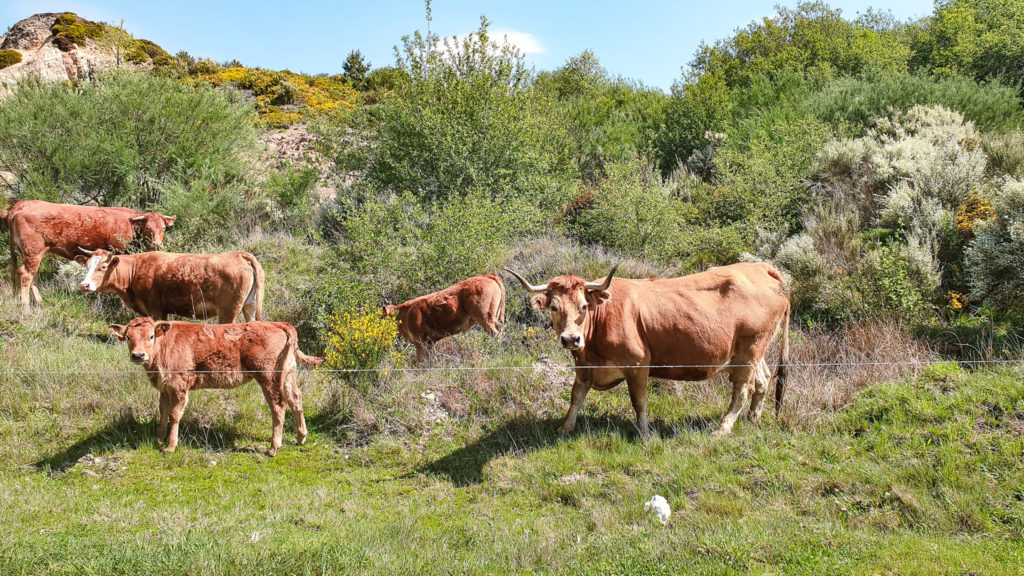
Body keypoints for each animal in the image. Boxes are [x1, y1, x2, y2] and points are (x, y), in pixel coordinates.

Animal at [1, 200, 176, 311]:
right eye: (147, 228)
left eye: (163, 228)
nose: (157, 244)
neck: (131, 225)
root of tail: (21, 205)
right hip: (33, 251)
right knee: (26, 274)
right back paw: (25, 306)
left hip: (30, 252)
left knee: (28, 274)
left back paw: (36, 301)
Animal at [77, 248, 264, 324]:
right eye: (87, 265)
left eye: (102, 267)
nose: (84, 285)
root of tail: (239, 254)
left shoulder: (155, 310)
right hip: (250, 306)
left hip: (228, 311)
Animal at [108, 317, 323, 455]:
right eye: (128, 337)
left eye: (151, 336)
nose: (138, 355)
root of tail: (276, 323)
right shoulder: (165, 387)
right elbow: (162, 411)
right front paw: (159, 439)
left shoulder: (179, 386)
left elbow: (174, 414)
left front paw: (170, 446)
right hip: (287, 375)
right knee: (295, 398)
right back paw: (301, 437)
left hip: (268, 377)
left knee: (279, 406)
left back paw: (273, 447)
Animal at [505, 262, 790, 438]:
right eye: (554, 307)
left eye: (584, 306)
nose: (570, 339)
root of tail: (760, 267)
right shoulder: (585, 366)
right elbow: (576, 396)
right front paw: (565, 428)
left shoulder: (637, 364)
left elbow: (639, 400)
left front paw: (645, 433)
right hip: (754, 351)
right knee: (763, 381)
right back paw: (753, 419)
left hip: (749, 350)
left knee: (742, 389)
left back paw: (722, 428)